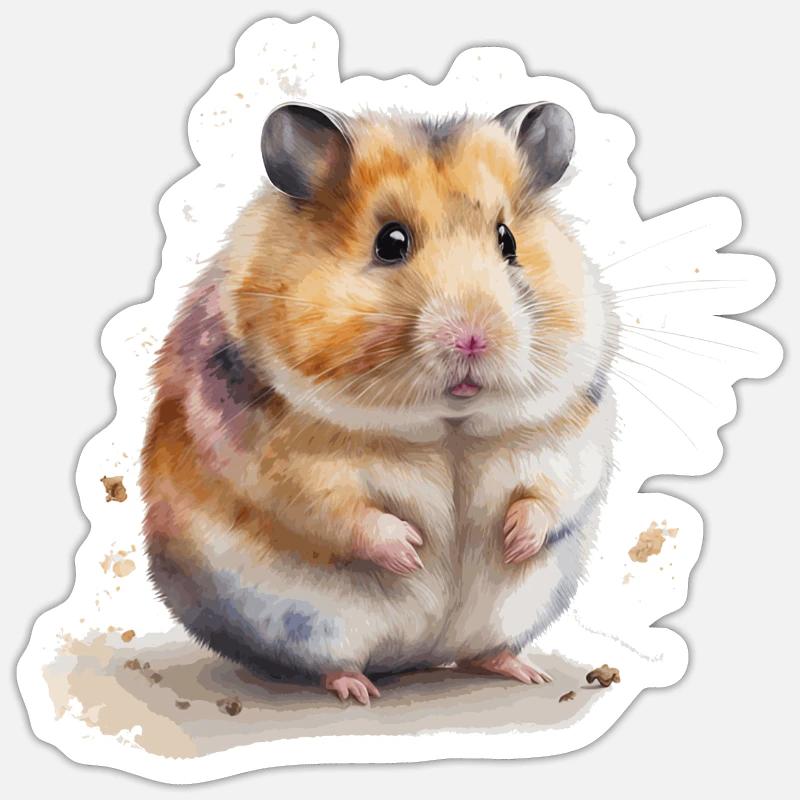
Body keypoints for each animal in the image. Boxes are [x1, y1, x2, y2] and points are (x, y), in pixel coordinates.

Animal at [140, 101, 618, 705]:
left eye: (507, 240)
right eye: (390, 242)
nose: (473, 338)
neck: (449, 424)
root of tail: (419, 656)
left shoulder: (571, 431)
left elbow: (552, 493)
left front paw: (512, 541)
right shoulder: (285, 465)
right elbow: (342, 511)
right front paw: (414, 550)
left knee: (484, 650)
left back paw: (523, 670)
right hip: (309, 623)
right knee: (329, 661)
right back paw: (358, 689)